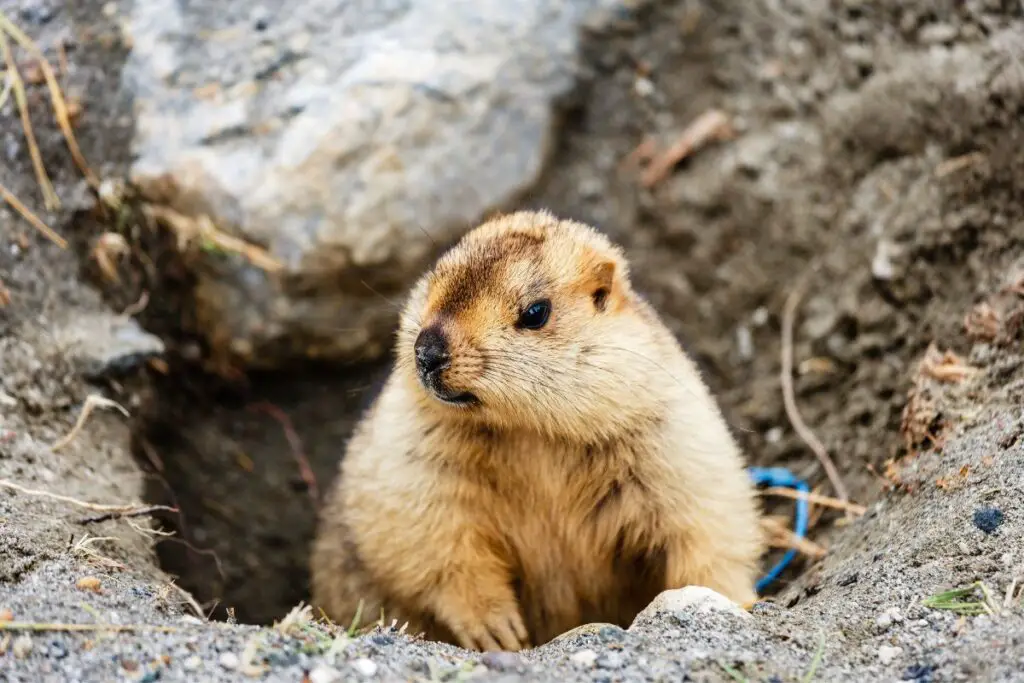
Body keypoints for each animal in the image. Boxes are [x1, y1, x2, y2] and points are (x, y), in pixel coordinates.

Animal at [310, 210, 764, 651]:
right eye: (435, 276)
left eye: (535, 312)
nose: (427, 351)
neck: (532, 432)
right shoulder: (409, 440)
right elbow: (427, 526)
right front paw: (498, 628)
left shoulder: (671, 433)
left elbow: (703, 521)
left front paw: (725, 599)